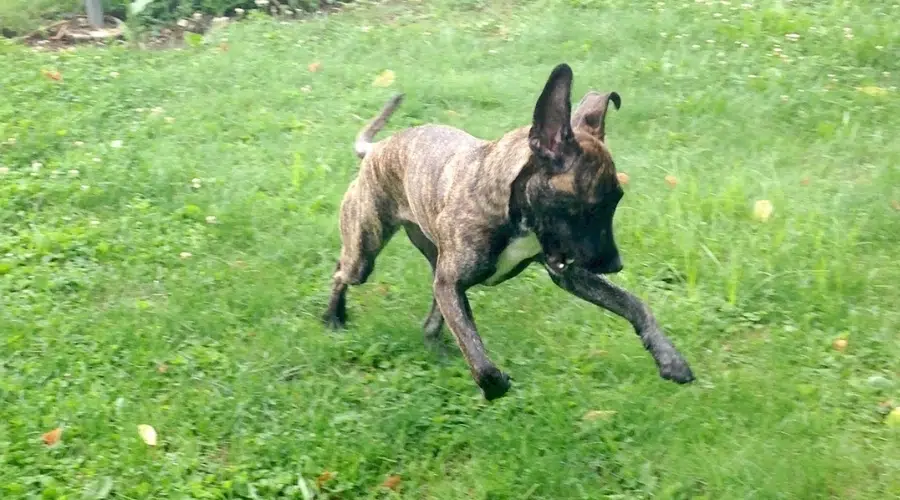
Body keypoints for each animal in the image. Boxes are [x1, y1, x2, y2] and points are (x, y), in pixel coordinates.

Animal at [324, 62, 696, 400]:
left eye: (616, 200)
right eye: (591, 208)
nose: (615, 265)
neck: (510, 205)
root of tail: (378, 149)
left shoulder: (569, 273)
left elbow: (634, 303)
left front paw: (670, 358)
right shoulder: (453, 283)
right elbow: (480, 358)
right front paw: (493, 384)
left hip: (434, 265)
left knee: (431, 318)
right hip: (365, 252)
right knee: (342, 271)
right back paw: (333, 317)